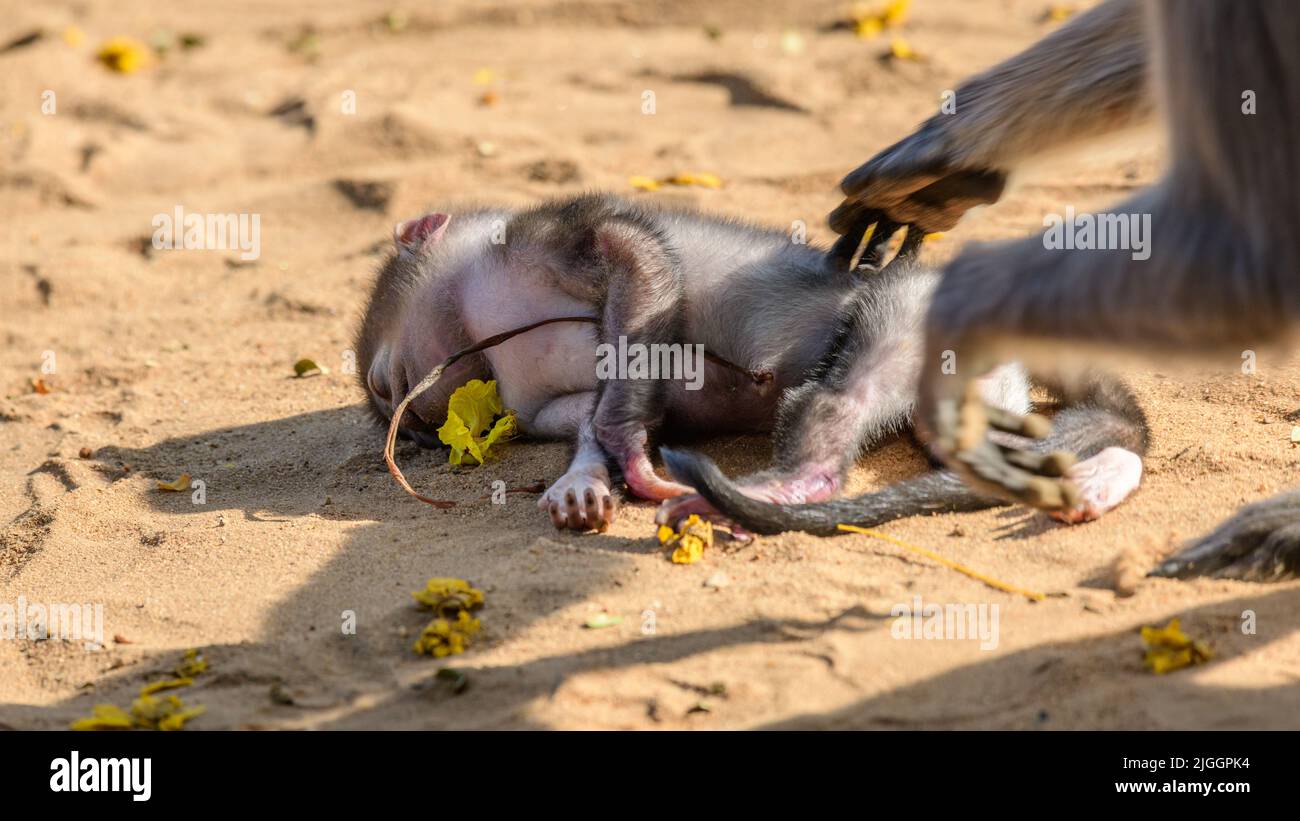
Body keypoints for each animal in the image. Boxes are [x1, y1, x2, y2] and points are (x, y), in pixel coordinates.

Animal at [356, 196, 1149, 535]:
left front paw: (624, 450)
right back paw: (1098, 475)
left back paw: (766, 491)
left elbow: (636, 259)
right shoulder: (531, 400)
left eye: (381, 383)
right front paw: (583, 482)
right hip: (974, 391)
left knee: (838, 409)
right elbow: (589, 411)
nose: (413, 428)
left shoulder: (542, 237)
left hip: (911, 313)